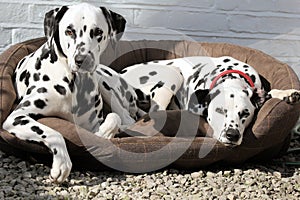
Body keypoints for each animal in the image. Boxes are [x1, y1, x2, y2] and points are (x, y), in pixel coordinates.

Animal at [2, 3, 132, 184]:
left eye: (98, 32)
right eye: (69, 31)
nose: (82, 60)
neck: (74, 84)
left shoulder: (91, 124)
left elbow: (113, 118)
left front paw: (105, 132)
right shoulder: (16, 118)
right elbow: (54, 133)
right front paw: (62, 164)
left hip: (104, 82)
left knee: (125, 115)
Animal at [120, 56, 300, 147]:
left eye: (245, 113)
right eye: (219, 110)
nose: (232, 135)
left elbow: (269, 93)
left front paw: (287, 93)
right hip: (173, 74)